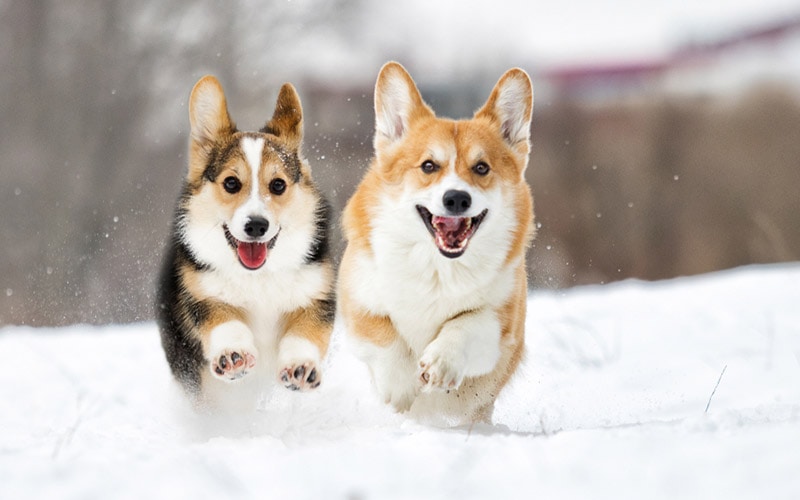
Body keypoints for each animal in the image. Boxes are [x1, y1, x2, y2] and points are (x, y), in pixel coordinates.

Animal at [156, 75, 334, 410]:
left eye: (277, 185)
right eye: (231, 183)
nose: (256, 226)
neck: (258, 277)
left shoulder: (314, 296)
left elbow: (304, 333)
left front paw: (300, 368)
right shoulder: (204, 295)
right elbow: (227, 322)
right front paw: (233, 356)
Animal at [340, 60, 536, 424]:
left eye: (481, 168)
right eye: (429, 166)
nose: (456, 198)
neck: (438, 267)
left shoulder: (501, 325)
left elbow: (466, 323)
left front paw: (440, 363)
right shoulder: (359, 303)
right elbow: (384, 336)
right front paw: (401, 388)